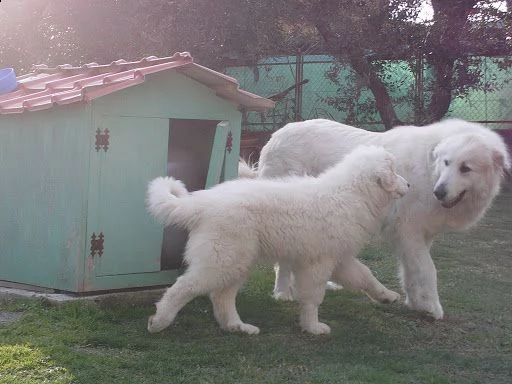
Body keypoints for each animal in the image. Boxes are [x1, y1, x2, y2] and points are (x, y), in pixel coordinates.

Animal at [145, 146, 408, 334]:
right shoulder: (319, 263)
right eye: (395, 170)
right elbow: (313, 297)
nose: (409, 184)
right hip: (223, 259)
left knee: (221, 296)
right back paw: (159, 321)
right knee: (184, 286)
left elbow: (366, 275)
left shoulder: (340, 258)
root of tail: (201, 203)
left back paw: (237, 326)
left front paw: (387, 295)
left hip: (237, 261)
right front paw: (313, 327)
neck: (351, 193)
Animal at [242, 118, 510, 320]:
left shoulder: (419, 236)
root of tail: (277, 134)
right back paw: (282, 293)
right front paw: (434, 308)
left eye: (465, 168)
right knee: (284, 261)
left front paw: (415, 303)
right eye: (447, 163)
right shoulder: (409, 232)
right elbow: (428, 270)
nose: (440, 192)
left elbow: (411, 271)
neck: (430, 169)